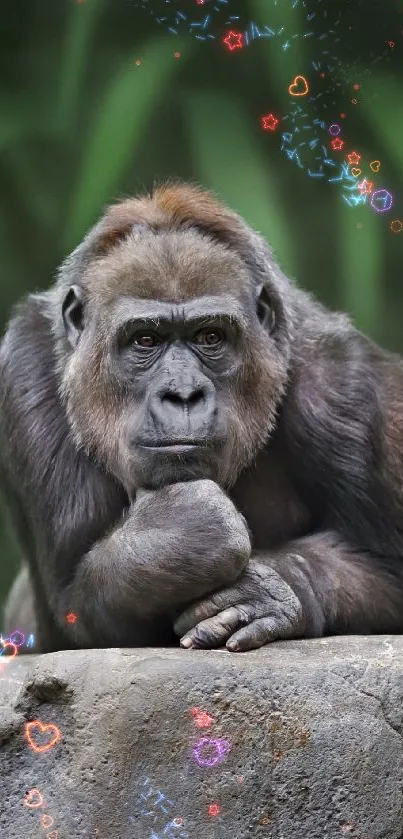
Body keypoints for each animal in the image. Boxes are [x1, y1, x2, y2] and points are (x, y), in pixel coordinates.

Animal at [0, 185, 403, 656]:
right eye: (145, 340)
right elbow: (75, 609)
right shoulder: (22, 366)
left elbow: (386, 571)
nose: (183, 395)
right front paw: (178, 531)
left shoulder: (345, 382)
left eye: (210, 336)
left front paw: (274, 589)